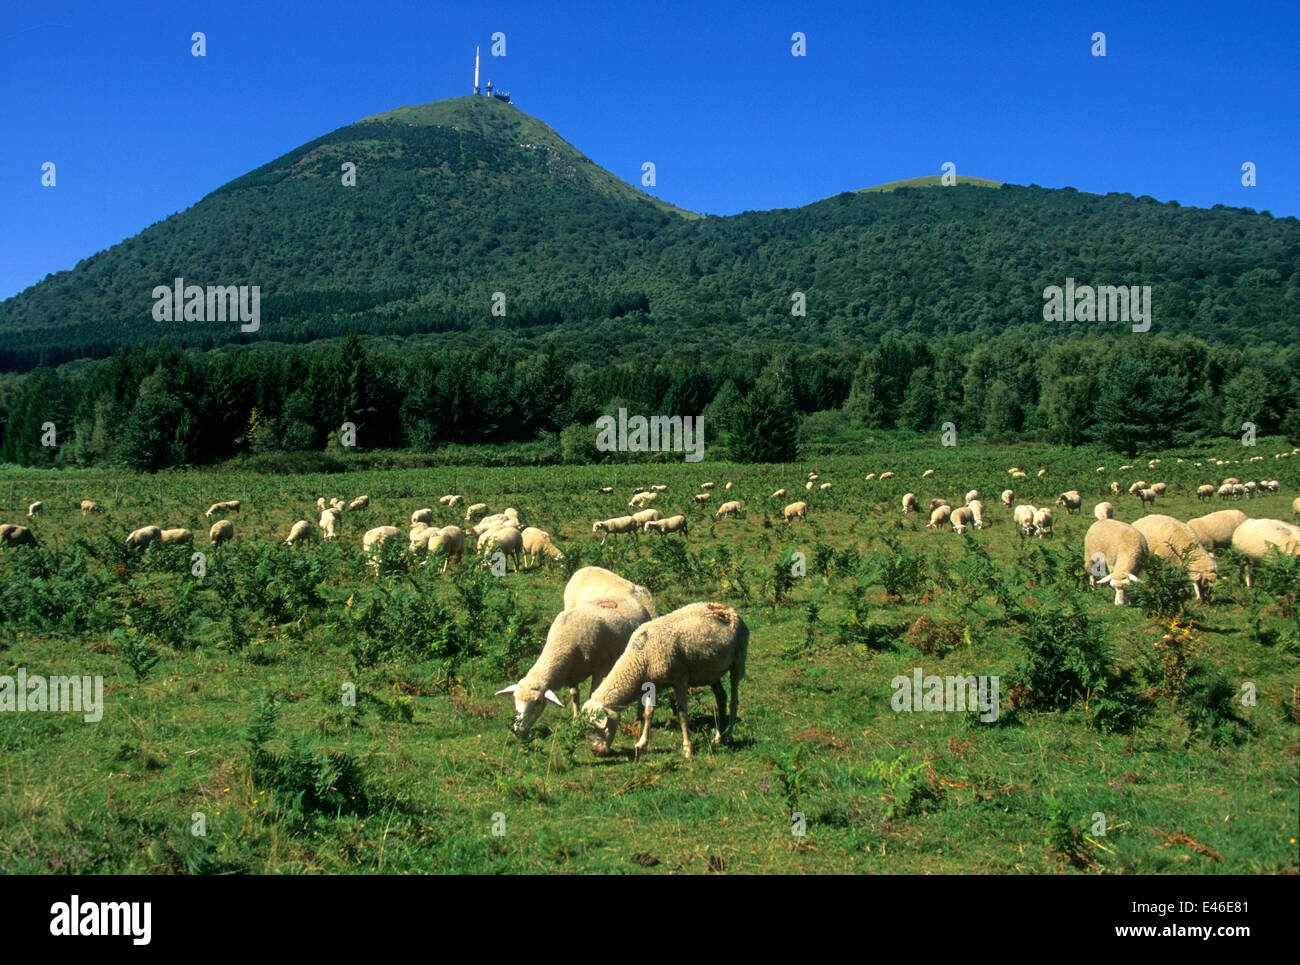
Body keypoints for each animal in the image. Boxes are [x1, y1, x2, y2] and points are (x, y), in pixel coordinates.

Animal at [493, 598, 655, 733]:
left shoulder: (599, 670)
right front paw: (576, 719)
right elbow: (574, 696)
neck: (562, 641)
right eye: (515, 698)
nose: (518, 730)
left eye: (538, 701)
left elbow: (591, 695)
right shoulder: (572, 672)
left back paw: (638, 717)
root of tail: (634, 600)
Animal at [582, 603, 748, 764]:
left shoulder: (680, 680)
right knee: (721, 697)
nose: (595, 752)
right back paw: (718, 737)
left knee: (733, 700)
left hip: (738, 662)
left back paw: (729, 735)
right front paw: (642, 744)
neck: (640, 658)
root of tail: (729, 609)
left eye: (597, 727)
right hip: (711, 672)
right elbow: (648, 713)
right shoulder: (652, 684)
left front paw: (687, 749)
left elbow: (682, 714)